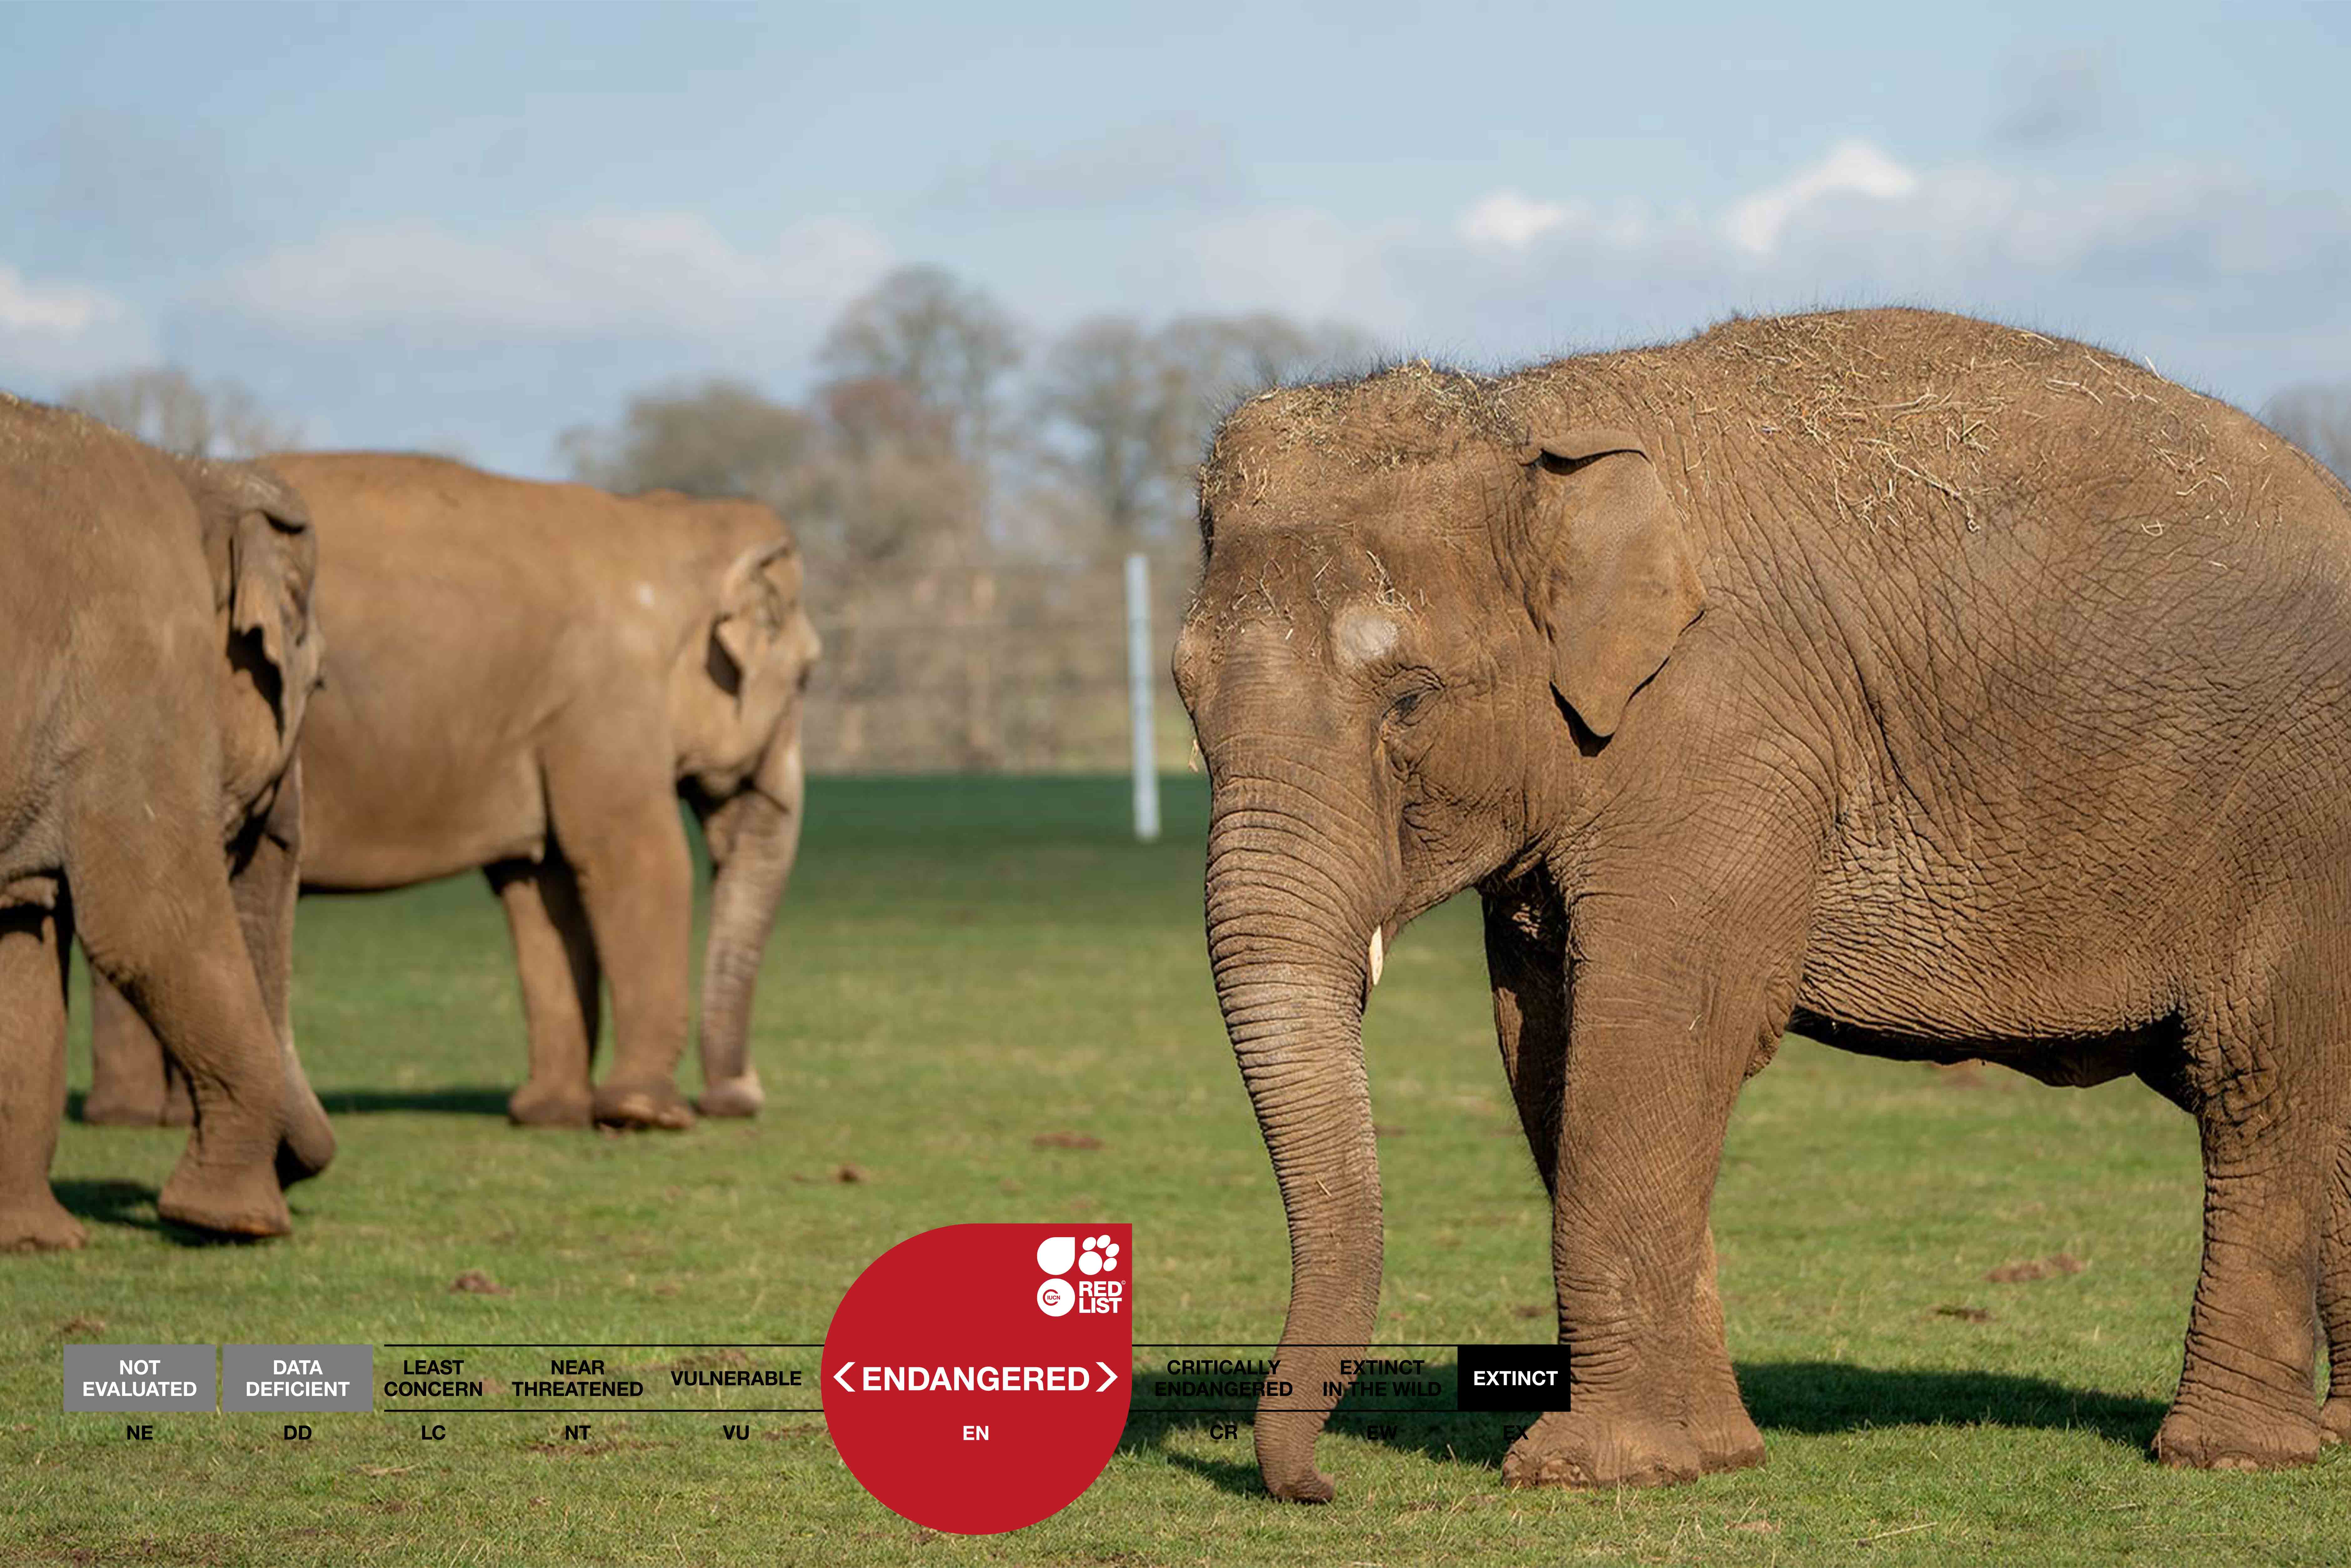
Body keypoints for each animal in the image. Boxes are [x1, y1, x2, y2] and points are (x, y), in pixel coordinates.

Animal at [1, 394, 333, 1249]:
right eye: (312, 682)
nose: (297, 1168)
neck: (198, 472)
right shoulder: (135, 664)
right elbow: (151, 927)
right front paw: (234, 1223)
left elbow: (23, 944)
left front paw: (34, 1240)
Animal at [83, 455, 820, 1133]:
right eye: (807, 677)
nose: (736, 1099)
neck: (669, 524)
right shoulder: (605, 701)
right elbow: (636, 860)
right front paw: (646, 1115)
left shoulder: (546, 723)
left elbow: (540, 886)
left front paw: (548, 1115)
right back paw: (145, 1117)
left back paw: (141, 1115)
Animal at [1172, 308, 2351, 1497]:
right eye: (1183, 696)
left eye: (1409, 699)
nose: (1320, 1485)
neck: (1530, 417)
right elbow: (1545, 1045)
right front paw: (1708, 1456)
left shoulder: (1724, 730)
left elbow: (1667, 1027)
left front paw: (1585, 1470)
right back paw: (2334, 1435)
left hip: (2296, 827)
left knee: (2255, 1084)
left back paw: (2226, 1452)